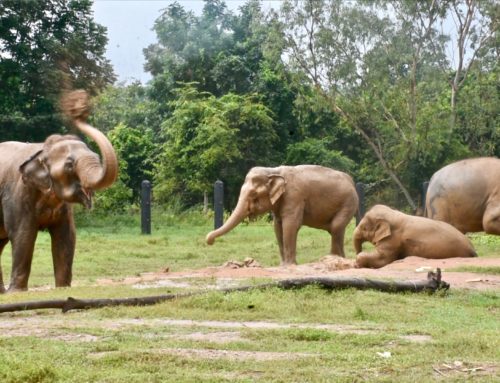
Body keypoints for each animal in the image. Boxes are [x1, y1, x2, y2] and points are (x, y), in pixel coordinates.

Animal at [0, 91, 118, 294]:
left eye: (96, 156)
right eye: (69, 165)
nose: (79, 110)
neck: (41, 149)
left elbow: (66, 236)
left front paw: (63, 289)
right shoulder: (17, 192)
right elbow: (23, 234)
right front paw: (16, 293)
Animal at [206, 165, 360, 268]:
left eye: (254, 195)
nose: (210, 241)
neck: (274, 171)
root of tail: (352, 181)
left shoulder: (294, 196)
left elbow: (290, 225)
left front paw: (289, 266)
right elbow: (277, 227)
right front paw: (283, 265)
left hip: (349, 202)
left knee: (336, 227)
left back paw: (333, 259)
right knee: (337, 230)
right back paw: (340, 259)